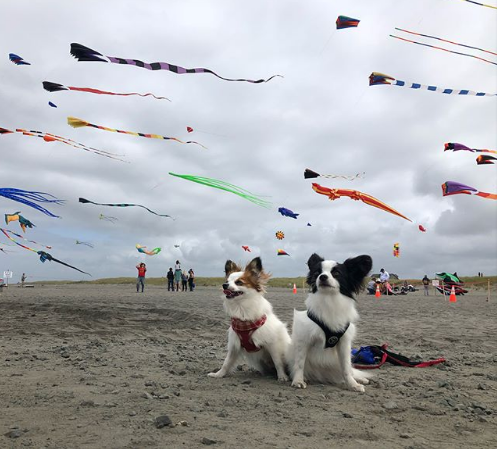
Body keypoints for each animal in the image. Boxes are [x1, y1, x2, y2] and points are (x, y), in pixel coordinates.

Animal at [286, 254, 372, 390]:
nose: (322, 277)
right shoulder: (303, 340)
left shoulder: (344, 344)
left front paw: (353, 384)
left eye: (336, 273)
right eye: (317, 273)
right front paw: (298, 380)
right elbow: (299, 363)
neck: (329, 299)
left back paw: (360, 379)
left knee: (349, 370)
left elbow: (346, 368)